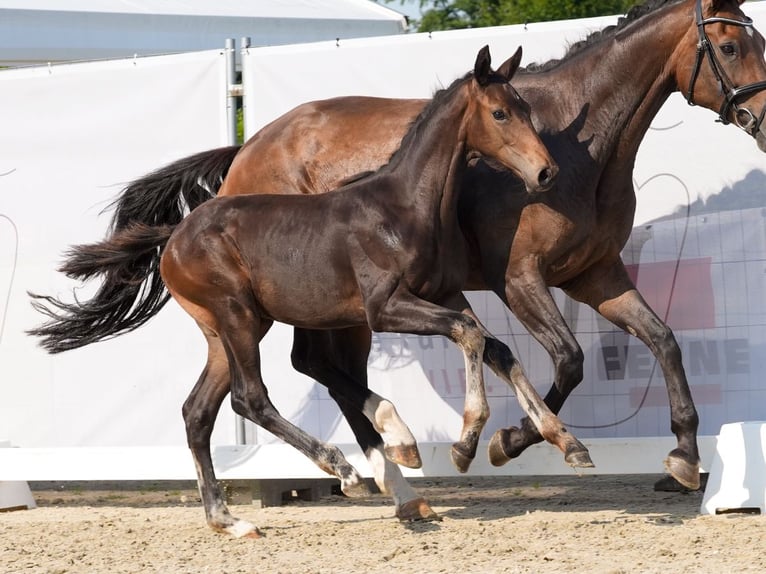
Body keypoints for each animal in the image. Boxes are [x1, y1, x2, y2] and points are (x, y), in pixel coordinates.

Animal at [28, 0, 766, 520]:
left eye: (756, 41)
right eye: (731, 46)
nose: (761, 119)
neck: (580, 147)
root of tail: (241, 153)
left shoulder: (594, 274)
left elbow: (661, 339)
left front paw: (682, 457)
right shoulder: (518, 279)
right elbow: (566, 360)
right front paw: (506, 442)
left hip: (273, 315)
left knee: (245, 393)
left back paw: (379, 473)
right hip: (298, 310)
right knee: (297, 374)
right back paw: (381, 459)